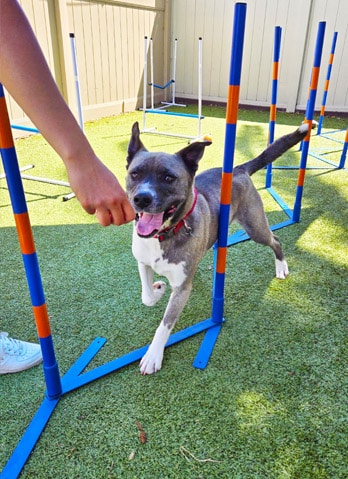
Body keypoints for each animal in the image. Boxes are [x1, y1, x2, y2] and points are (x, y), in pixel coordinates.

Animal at [126, 121, 312, 376]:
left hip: (255, 227)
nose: (142, 199)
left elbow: (165, 324)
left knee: (275, 239)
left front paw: (154, 354)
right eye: (135, 174)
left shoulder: (182, 289)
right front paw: (158, 288)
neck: (164, 234)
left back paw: (281, 266)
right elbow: (146, 296)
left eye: (168, 177)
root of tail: (239, 169)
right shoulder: (143, 261)